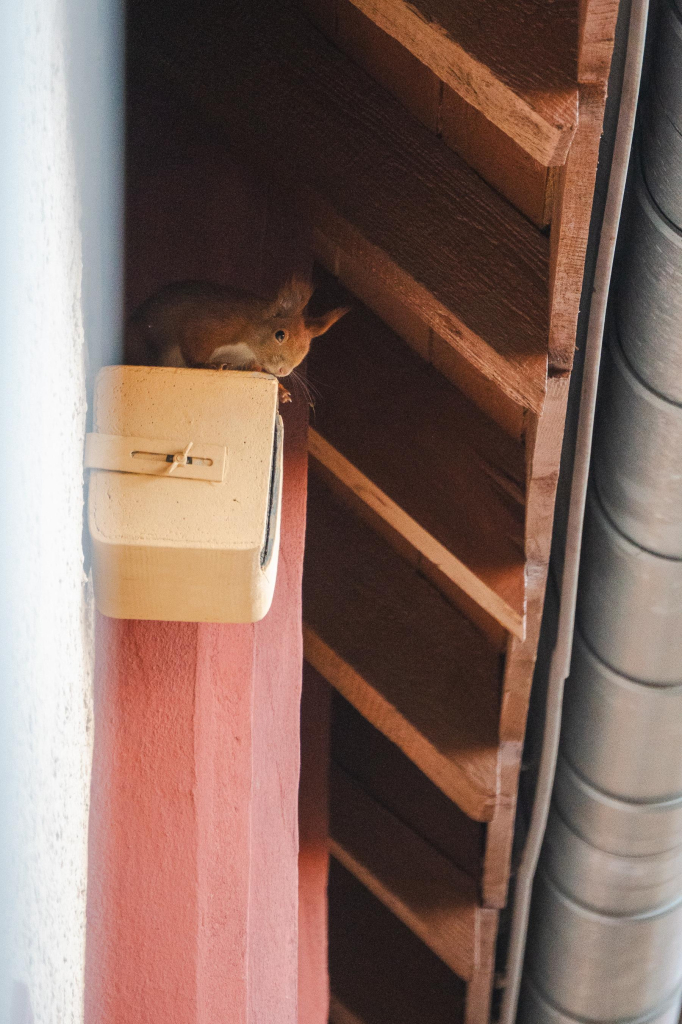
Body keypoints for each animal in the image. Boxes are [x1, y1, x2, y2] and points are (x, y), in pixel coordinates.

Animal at [124, 278, 348, 401]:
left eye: (306, 349)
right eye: (280, 335)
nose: (283, 371)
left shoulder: (247, 362)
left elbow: (255, 369)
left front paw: (281, 391)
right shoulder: (206, 326)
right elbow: (193, 350)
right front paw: (207, 364)